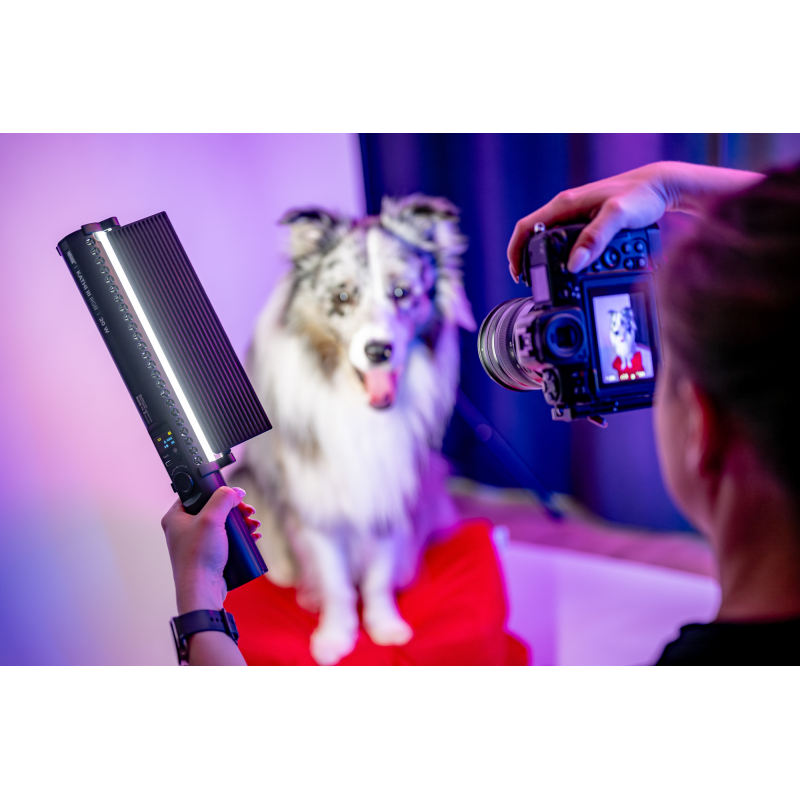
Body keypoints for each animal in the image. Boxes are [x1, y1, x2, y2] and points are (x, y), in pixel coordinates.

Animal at [233, 194, 476, 665]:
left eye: (401, 293)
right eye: (342, 296)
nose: (379, 350)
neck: (360, 408)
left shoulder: (387, 491)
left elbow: (378, 576)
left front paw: (385, 627)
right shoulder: (317, 503)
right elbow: (336, 582)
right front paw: (335, 637)